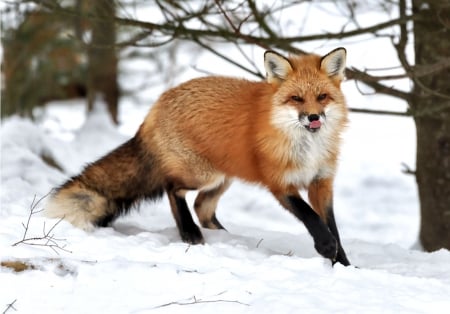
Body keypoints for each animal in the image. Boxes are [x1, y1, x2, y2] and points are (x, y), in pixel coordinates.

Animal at [44, 47, 352, 264]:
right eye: (296, 99)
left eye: (322, 97)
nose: (314, 117)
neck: (307, 149)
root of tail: (155, 106)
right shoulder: (280, 183)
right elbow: (311, 218)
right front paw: (326, 247)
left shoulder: (321, 182)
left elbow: (332, 226)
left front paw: (343, 264)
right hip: (202, 175)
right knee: (173, 189)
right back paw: (189, 233)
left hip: (222, 178)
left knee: (202, 207)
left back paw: (224, 236)